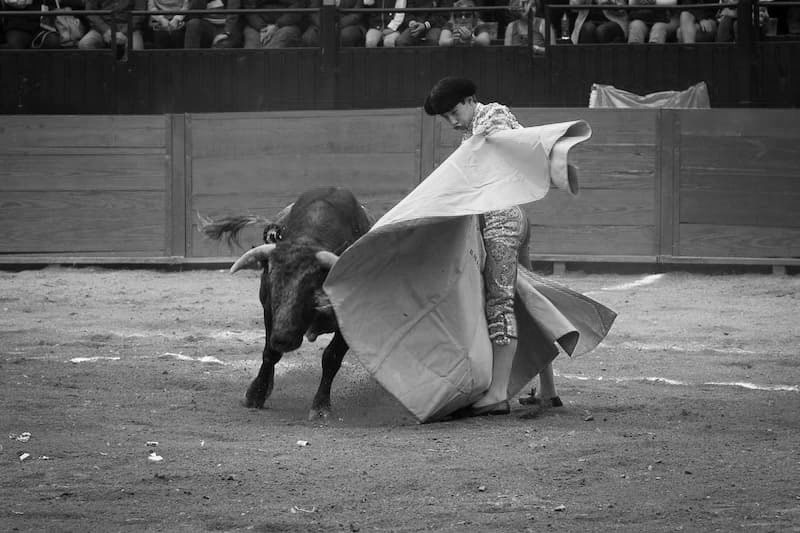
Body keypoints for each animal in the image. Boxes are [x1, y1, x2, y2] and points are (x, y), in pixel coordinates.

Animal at [202, 187, 374, 420]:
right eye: (272, 284)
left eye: (311, 290)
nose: (283, 339)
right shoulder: (268, 310)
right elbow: (270, 353)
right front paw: (255, 395)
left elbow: (331, 357)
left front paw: (321, 407)